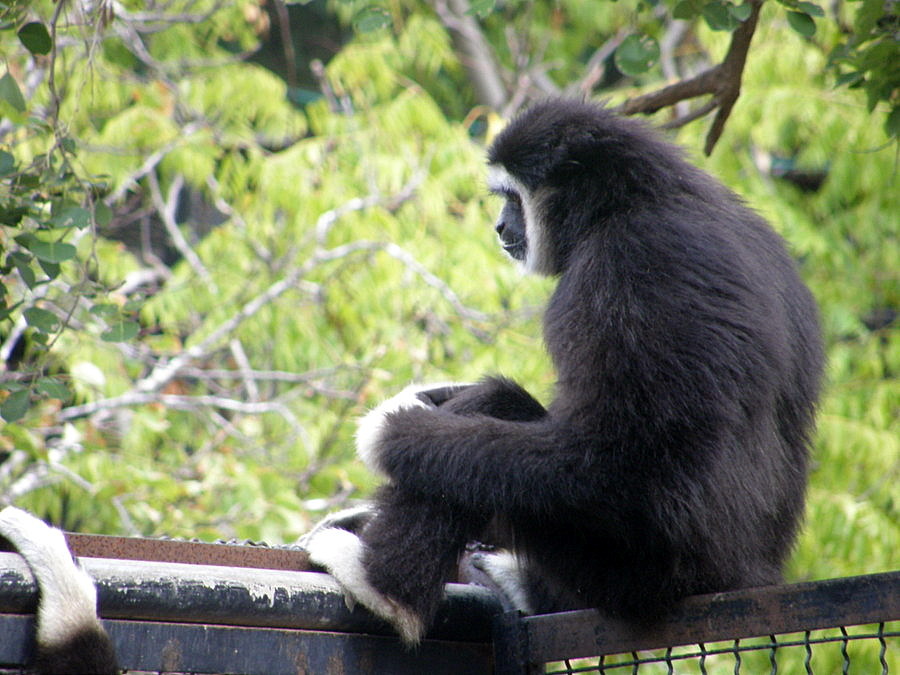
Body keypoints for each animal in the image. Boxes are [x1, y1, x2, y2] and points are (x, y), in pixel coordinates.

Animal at [303, 98, 825, 646]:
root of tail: (747, 576)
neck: (635, 202)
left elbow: (621, 463)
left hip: (628, 568)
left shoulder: (630, 264)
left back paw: (384, 589)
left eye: (512, 199)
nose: (500, 227)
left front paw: (389, 427)